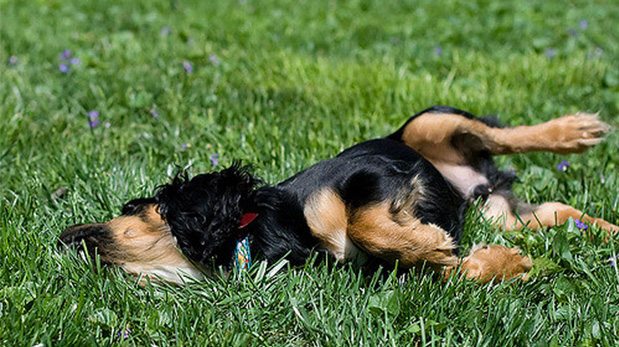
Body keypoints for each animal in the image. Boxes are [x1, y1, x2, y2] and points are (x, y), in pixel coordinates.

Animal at [59, 106, 619, 286]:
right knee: (557, 211)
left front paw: (431, 242)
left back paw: (574, 131)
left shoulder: (367, 175)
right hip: (501, 212)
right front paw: (505, 264)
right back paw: (610, 231)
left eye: (133, 211)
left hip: (427, 124)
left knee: (505, 134)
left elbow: (366, 224)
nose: (63, 238)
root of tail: (478, 182)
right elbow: (446, 268)